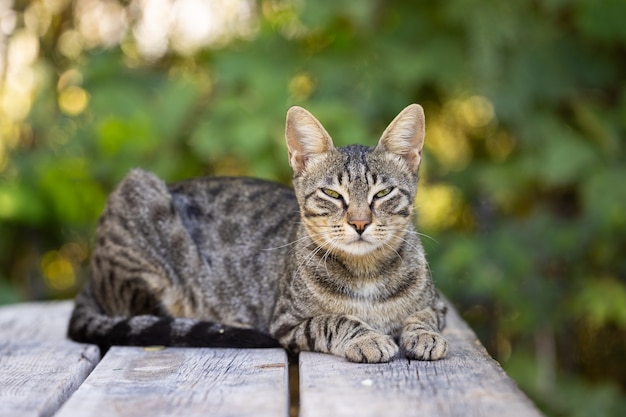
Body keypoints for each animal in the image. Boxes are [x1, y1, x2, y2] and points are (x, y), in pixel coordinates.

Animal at [68, 103, 446, 360]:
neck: (366, 271)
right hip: (138, 196)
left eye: (382, 194)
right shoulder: (286, 323)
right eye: (331, 194)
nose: (359, 223)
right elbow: (336, 320)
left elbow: (424, 315)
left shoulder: (438, 304)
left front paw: (424, 335)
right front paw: (368, 337)